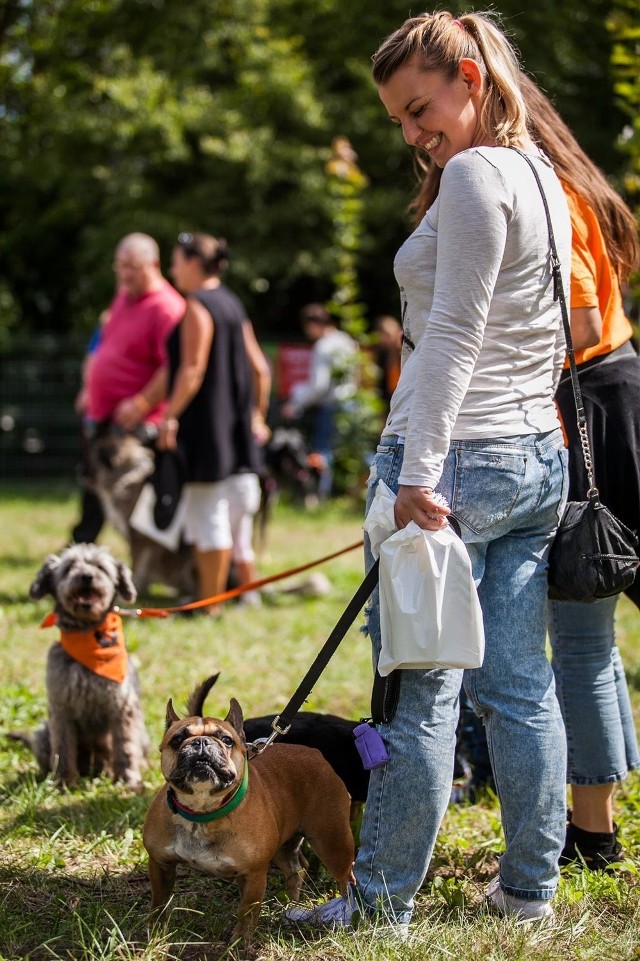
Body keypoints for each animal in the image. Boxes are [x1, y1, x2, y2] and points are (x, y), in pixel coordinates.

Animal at [11, 544, 149, 792]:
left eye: (100, 567)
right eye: (69, 567)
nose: (86, 576)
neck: (88, 635)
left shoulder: (121, 706)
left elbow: (125, 747)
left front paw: (129, 780)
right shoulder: (61, 708)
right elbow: (63, 749)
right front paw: (64, 781)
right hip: (42, 734)